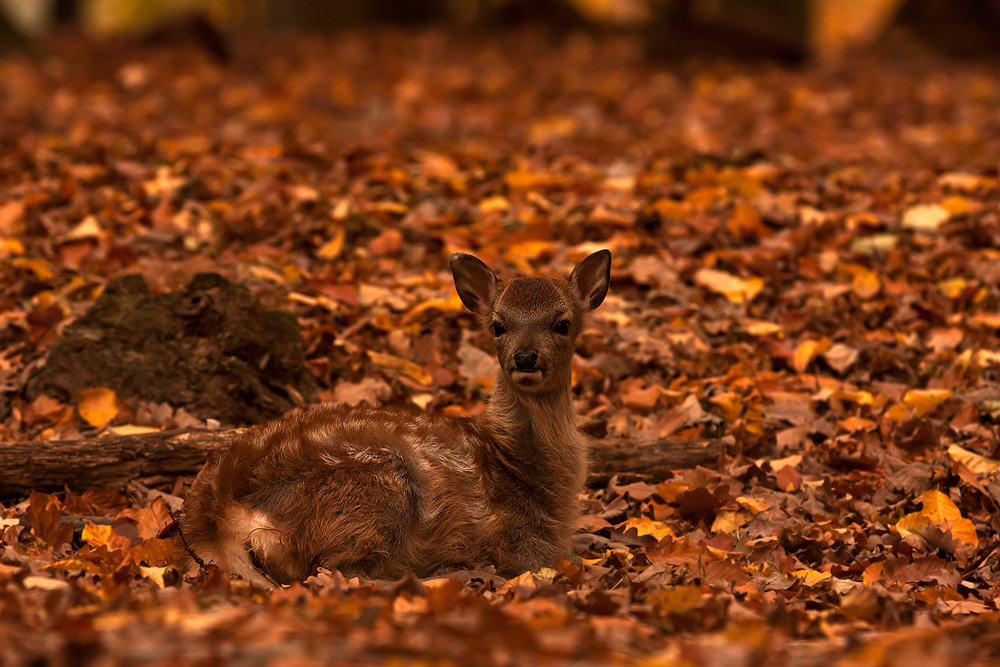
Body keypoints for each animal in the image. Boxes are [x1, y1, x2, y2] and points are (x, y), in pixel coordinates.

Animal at [183, 250, 612, 588]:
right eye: (498, 325)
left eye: (562, 323)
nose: (525, 357)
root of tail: (217, 507)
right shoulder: (512, 535)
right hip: (380, 490)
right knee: (338, 571)